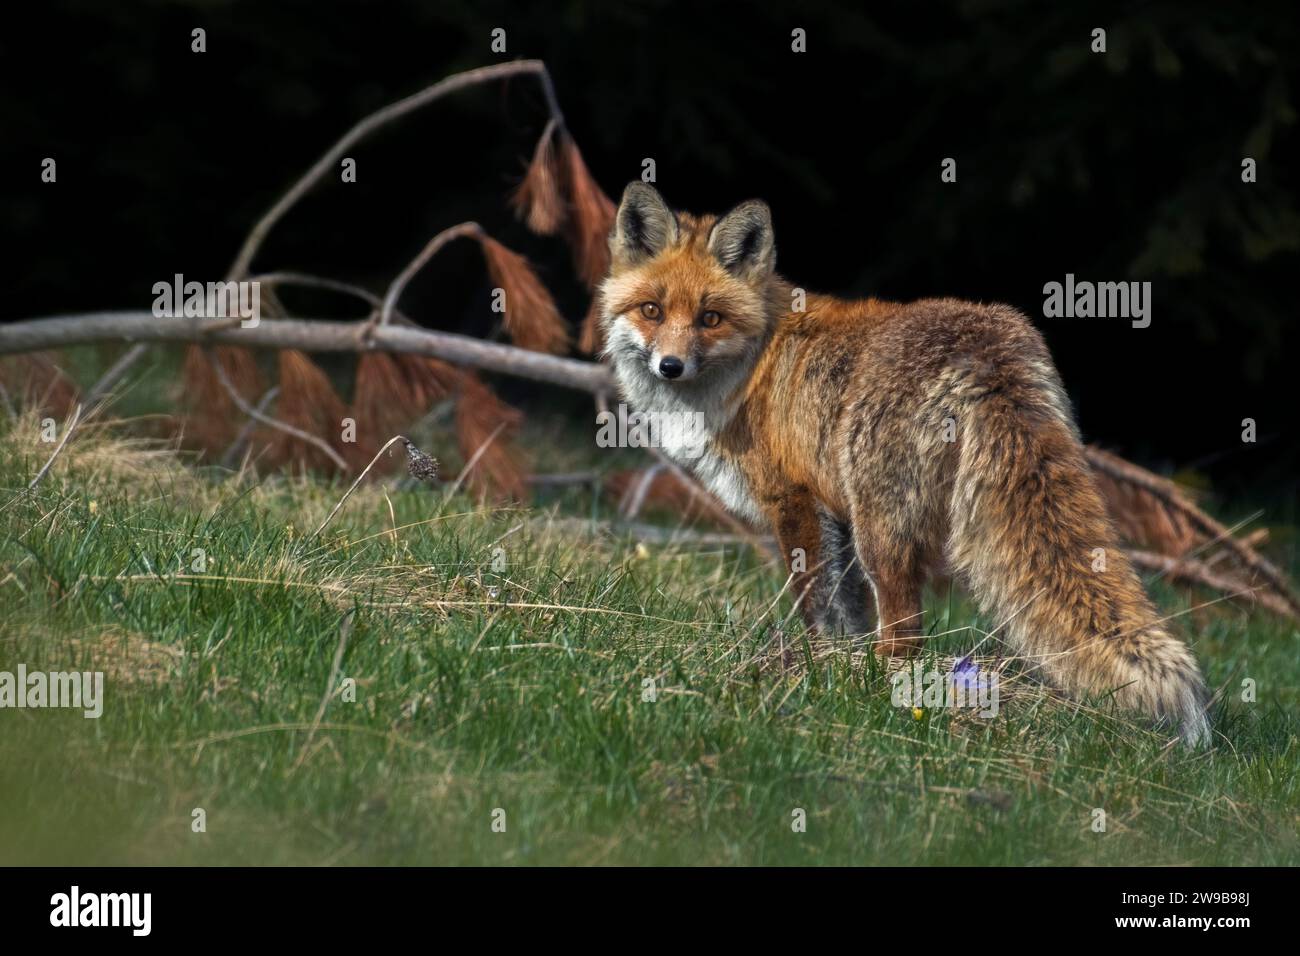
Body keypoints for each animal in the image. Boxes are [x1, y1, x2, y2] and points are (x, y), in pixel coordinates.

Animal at [598, 180, 1206, 749]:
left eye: (710, 318)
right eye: (652, 311)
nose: (670, 366)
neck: (754, 366)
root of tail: (986, 350)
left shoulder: (793, 500)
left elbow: (816, 605)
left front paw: (818, 667)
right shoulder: (831, 513)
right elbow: (845, 610)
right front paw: (835, 662)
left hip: (880, 527)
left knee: (905, 631)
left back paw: (882, 688)